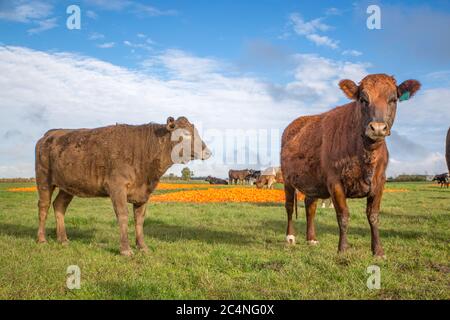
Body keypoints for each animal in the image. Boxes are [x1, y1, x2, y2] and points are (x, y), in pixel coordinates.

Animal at [35, 116, 211, 256]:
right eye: (185, 135)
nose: (208, 152)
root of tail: (50, 133)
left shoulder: (143, 194)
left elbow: (139, 219)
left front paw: (142, 247)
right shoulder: (117, 187)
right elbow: (123, 215)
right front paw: (126, 249)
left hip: (69, 185)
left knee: (59, 206)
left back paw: (63, 239)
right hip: (44, 179)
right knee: (43, 206)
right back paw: (42, 239)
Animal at [282, 74, 422, 256]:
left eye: (393, 99)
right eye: (363, 99)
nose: (378, 128)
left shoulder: (380, 181)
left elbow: (373, 216)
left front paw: (378, 251)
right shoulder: (334, 182)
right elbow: (343, 215)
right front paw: (343, 249)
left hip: (312, 181)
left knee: (310, 206)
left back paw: (311, 238)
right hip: (287, 179)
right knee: (289, 206)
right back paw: (290, 237)